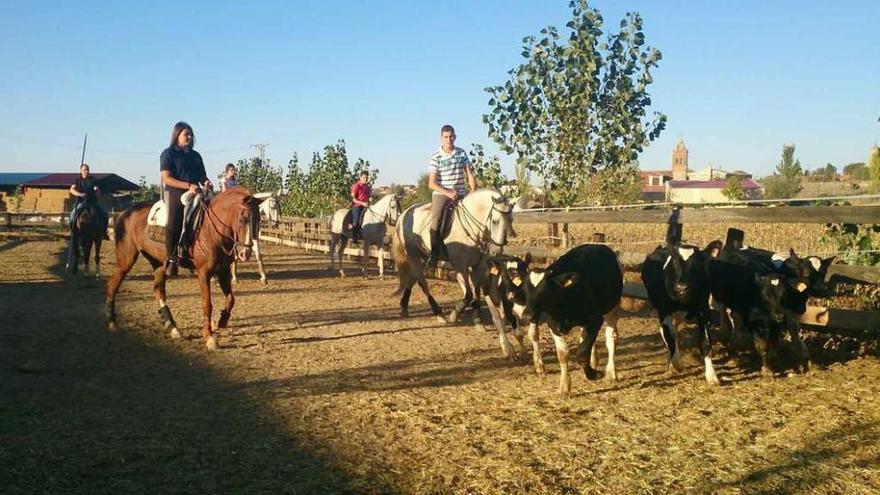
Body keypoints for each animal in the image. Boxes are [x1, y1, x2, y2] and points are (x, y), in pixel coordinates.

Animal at [107, 188, 264, 350]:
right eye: (242, 219)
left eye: (258, 220)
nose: (245, 253)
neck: (211, 230)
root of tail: (124, 213)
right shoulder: (204, 272)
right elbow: (207, 304)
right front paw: (209, 337)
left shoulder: (223, 271)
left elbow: (231, 299)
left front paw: (221, 321)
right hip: (126, 260)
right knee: (112, 285)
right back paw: (112, 322)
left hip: (158, 263)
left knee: (158, 291)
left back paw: (173, 328)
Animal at [394, 190, 516, 330]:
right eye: (495, 221)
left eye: (511, 220)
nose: (497, 249)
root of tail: (404, 214)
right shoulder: (460, 266)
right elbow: (468, 294)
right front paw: (454, 315)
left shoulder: (478, 266)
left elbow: (476, 293)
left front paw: (478, 321)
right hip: (412, 254)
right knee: (422, 283)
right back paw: (439, 314)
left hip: (423, 255)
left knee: (413, 278)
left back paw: (404, 306)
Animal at [512, 244, 624, 400]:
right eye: (525, 290)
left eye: (545, 291)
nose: (527, 316)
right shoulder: (553, 324)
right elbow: (563, 353)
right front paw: (565, 387)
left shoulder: (595, 319)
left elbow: (582, 353)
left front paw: (593, 374)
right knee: (586, 339)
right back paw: (593, 361)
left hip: (613, 307)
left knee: (611, 338)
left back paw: (611, 373)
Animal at [640, 238, 720, 386]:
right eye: (674, 263)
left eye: (696, 265)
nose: (682, 287)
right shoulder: (664, 311)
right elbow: (669, 338)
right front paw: (677, 364)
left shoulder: (703, 309)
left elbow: (705, 342)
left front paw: (711, 376)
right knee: (668, 334)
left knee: (675, 333)